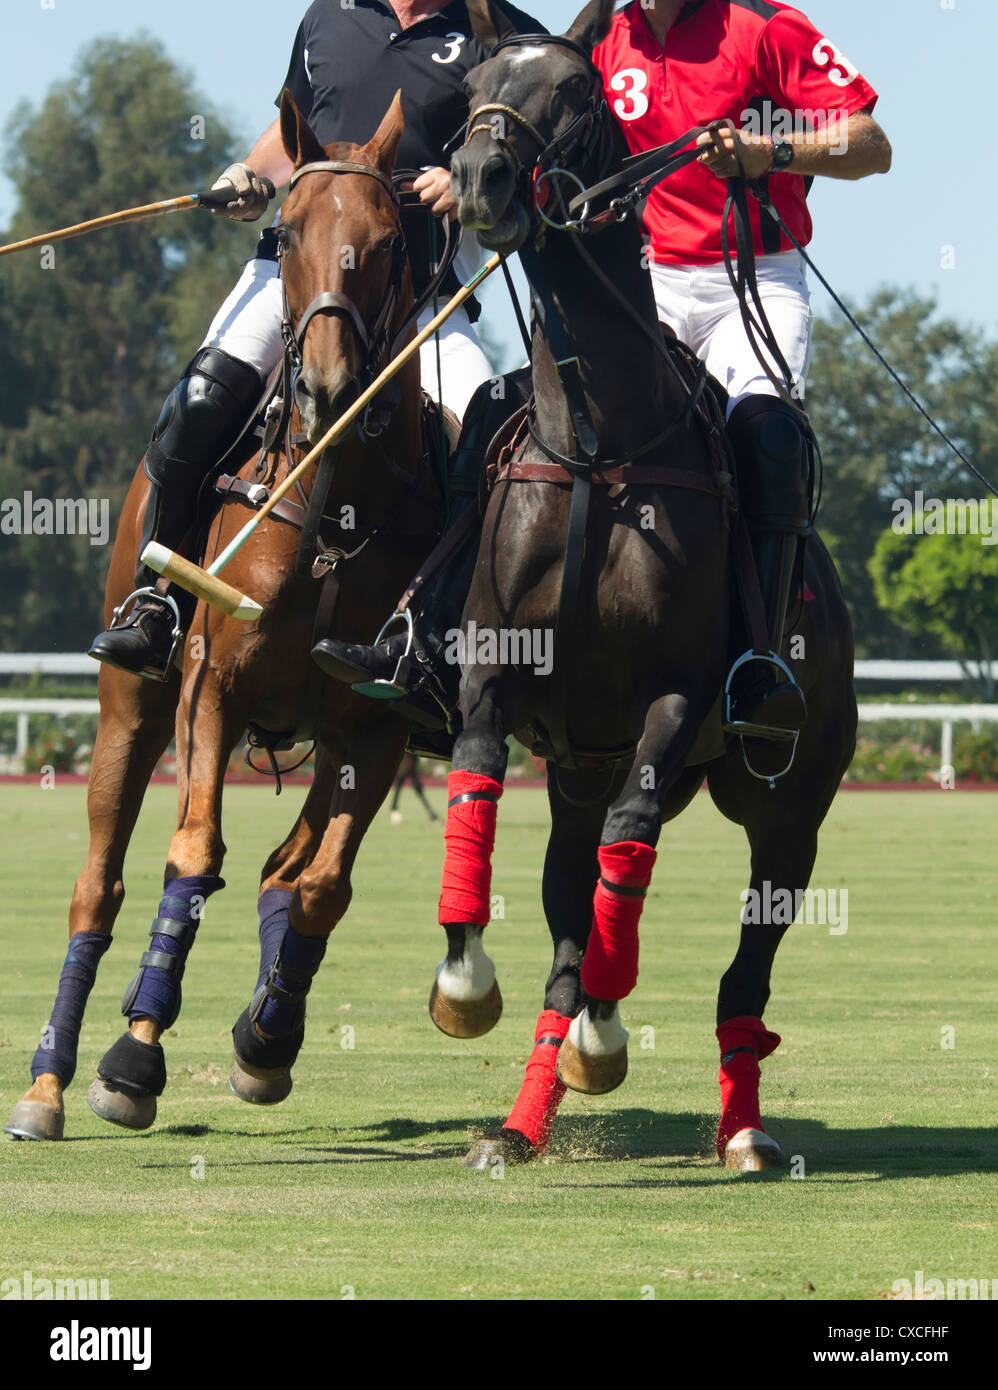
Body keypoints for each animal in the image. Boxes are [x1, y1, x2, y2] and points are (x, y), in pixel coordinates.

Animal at [2, 95, 442, 1139]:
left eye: (388, 241)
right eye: (284, 234)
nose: (325, 386)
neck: (330, 502)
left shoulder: (378, 726)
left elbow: (321, 884)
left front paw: (263, 1039)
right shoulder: (212, 681)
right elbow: (192, 857)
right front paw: (132, 1056)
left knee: (291, 864)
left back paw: (265, 1029)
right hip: (129, 705)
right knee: (99, 880)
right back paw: (47, 1083)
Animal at [430, 0, 861, 1173]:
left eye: (577, 92)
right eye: (474, 83)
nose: (480, 177)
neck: (595, 443)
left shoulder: (677, 695)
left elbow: (628, 858)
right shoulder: (496, 669)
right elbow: (478, 781)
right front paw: (463, 981)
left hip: (790, 802)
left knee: (740, 963)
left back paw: (742, 1127)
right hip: (580, 764)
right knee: (571, 897)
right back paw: (534, 1105)